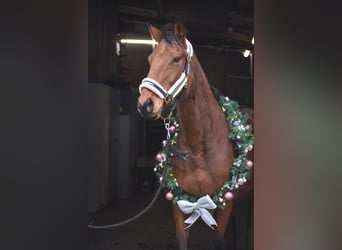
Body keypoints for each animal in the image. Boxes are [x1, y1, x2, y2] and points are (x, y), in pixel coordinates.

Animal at [138, 22, 252, 249]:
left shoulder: (225, 205)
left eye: (176, 59)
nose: (145, 104)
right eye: (150, 59)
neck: (200, 147)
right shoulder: (179, 204)